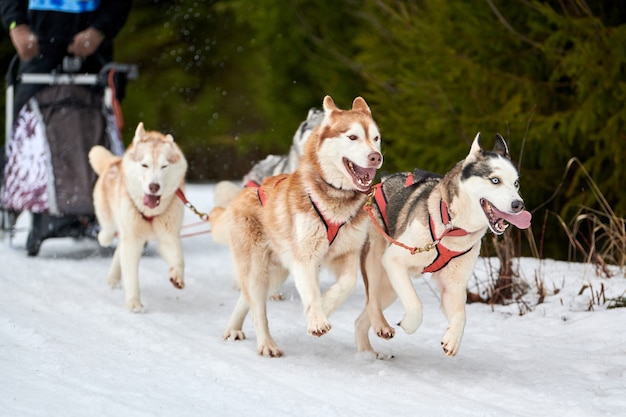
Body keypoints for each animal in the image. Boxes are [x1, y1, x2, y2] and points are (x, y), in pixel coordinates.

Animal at [88, 122, 186, 310]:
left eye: (164, 166)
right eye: (145, 165)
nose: (154, 186)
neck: (150, 213)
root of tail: (114, 162)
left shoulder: (168, 236)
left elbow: (178, 258)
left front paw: (177, 275)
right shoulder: (132, 240)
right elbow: (131, 274)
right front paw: (134, 303)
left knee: (119, 249)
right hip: (112, 217)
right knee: (108, 232)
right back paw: (104, 239)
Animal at [211, 96, 380, 356]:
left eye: (376, 138)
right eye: (352, 137)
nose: (375, 157)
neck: (335, 200)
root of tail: (247, 192)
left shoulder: (348, 253)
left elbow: (348, 283)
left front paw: (326, 305)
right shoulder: (305, 258)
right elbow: (311, 292)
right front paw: (318, 321)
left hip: (277, 272)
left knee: (245, 300)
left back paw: (233, 328)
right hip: (258, 270)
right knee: (257, 309)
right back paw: (266, 344)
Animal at [354, 134, 528, 358]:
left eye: (516, 183)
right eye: (495, 180)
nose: (519, 205)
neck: (451, 226)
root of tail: (379, 185)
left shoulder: (453, 286)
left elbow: (461, 315)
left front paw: (452, 340)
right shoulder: (395, 258)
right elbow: (415, 305)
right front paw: (409, 325)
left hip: (390, 287)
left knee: (360, 319)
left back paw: (366, 353)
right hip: (377, 261)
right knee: (372, 300)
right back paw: (380, 326)